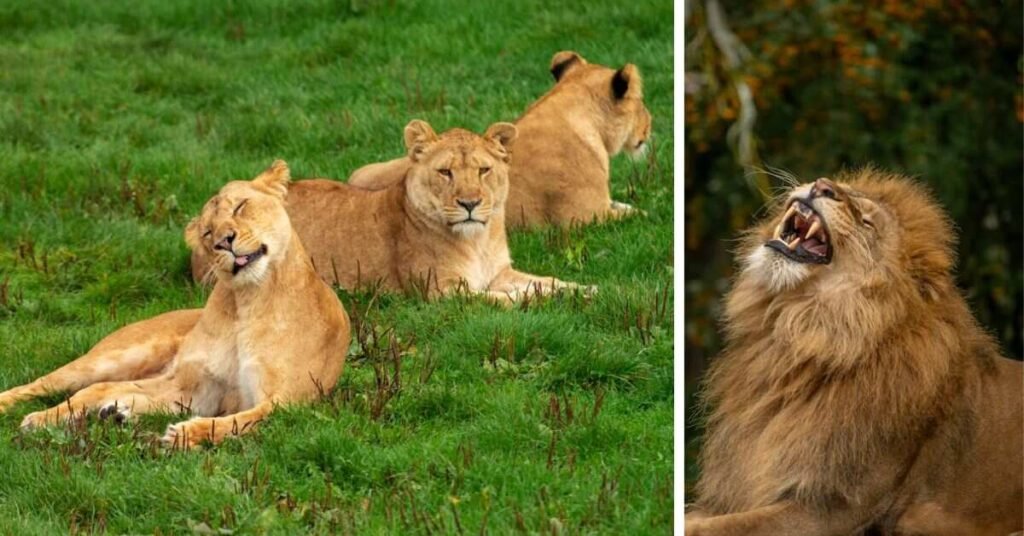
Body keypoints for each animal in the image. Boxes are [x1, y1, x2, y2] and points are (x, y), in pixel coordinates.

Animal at [0, 161, 351, 449]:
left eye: (240, 206)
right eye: (208, 232)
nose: (224, 241)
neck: (247, 300)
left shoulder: (288, 402)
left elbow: (241, 421)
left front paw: (185, 434)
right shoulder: (193, 386)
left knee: (106, 389)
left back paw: (114, 414)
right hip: (113, 358)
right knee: (69, 385)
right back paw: (41, 416)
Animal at [191, 121, 592, 303]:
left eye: (483, 170)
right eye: (445, 172)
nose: (470, 204)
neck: (477, 240)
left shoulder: (500, 273)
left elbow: (546, 280)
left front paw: (586, 290)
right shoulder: (440, 292)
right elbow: (507, 299)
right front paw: (541, 302)